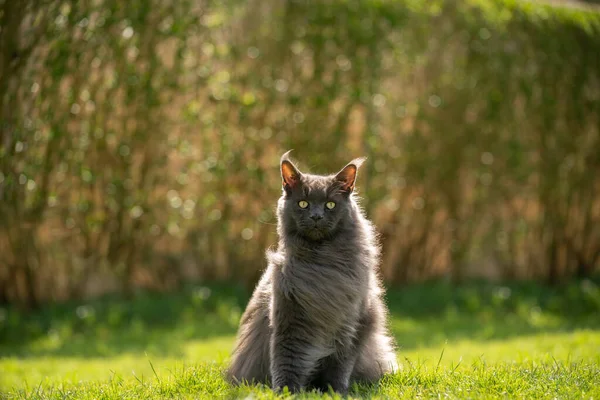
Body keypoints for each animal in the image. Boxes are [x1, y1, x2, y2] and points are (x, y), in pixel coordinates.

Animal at [226, 152, 398, 392]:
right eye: (303, 203)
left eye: (330, 205)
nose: (316, 216)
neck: (322, 263)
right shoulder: (289, 318)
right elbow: (286, 360)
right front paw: (286, 392)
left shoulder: (352, 322)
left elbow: (340, 365)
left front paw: (335, 391)